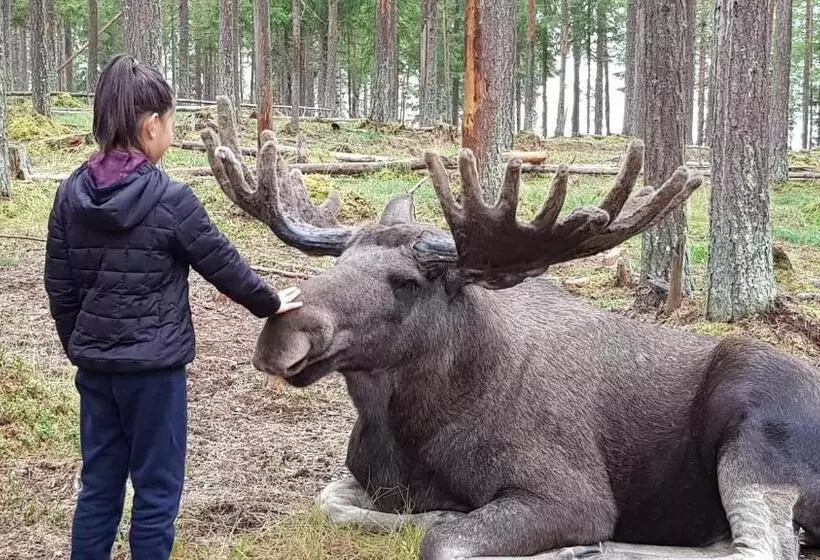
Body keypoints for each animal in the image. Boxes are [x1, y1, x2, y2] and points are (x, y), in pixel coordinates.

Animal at [201, 97, 820, 560]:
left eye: (406, 281)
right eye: (340, 262)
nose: (282, 334)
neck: (410, 426)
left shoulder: (571, 494)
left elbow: (442, 538)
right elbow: (340, 503)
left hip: (757, 426)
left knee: (756, 548)